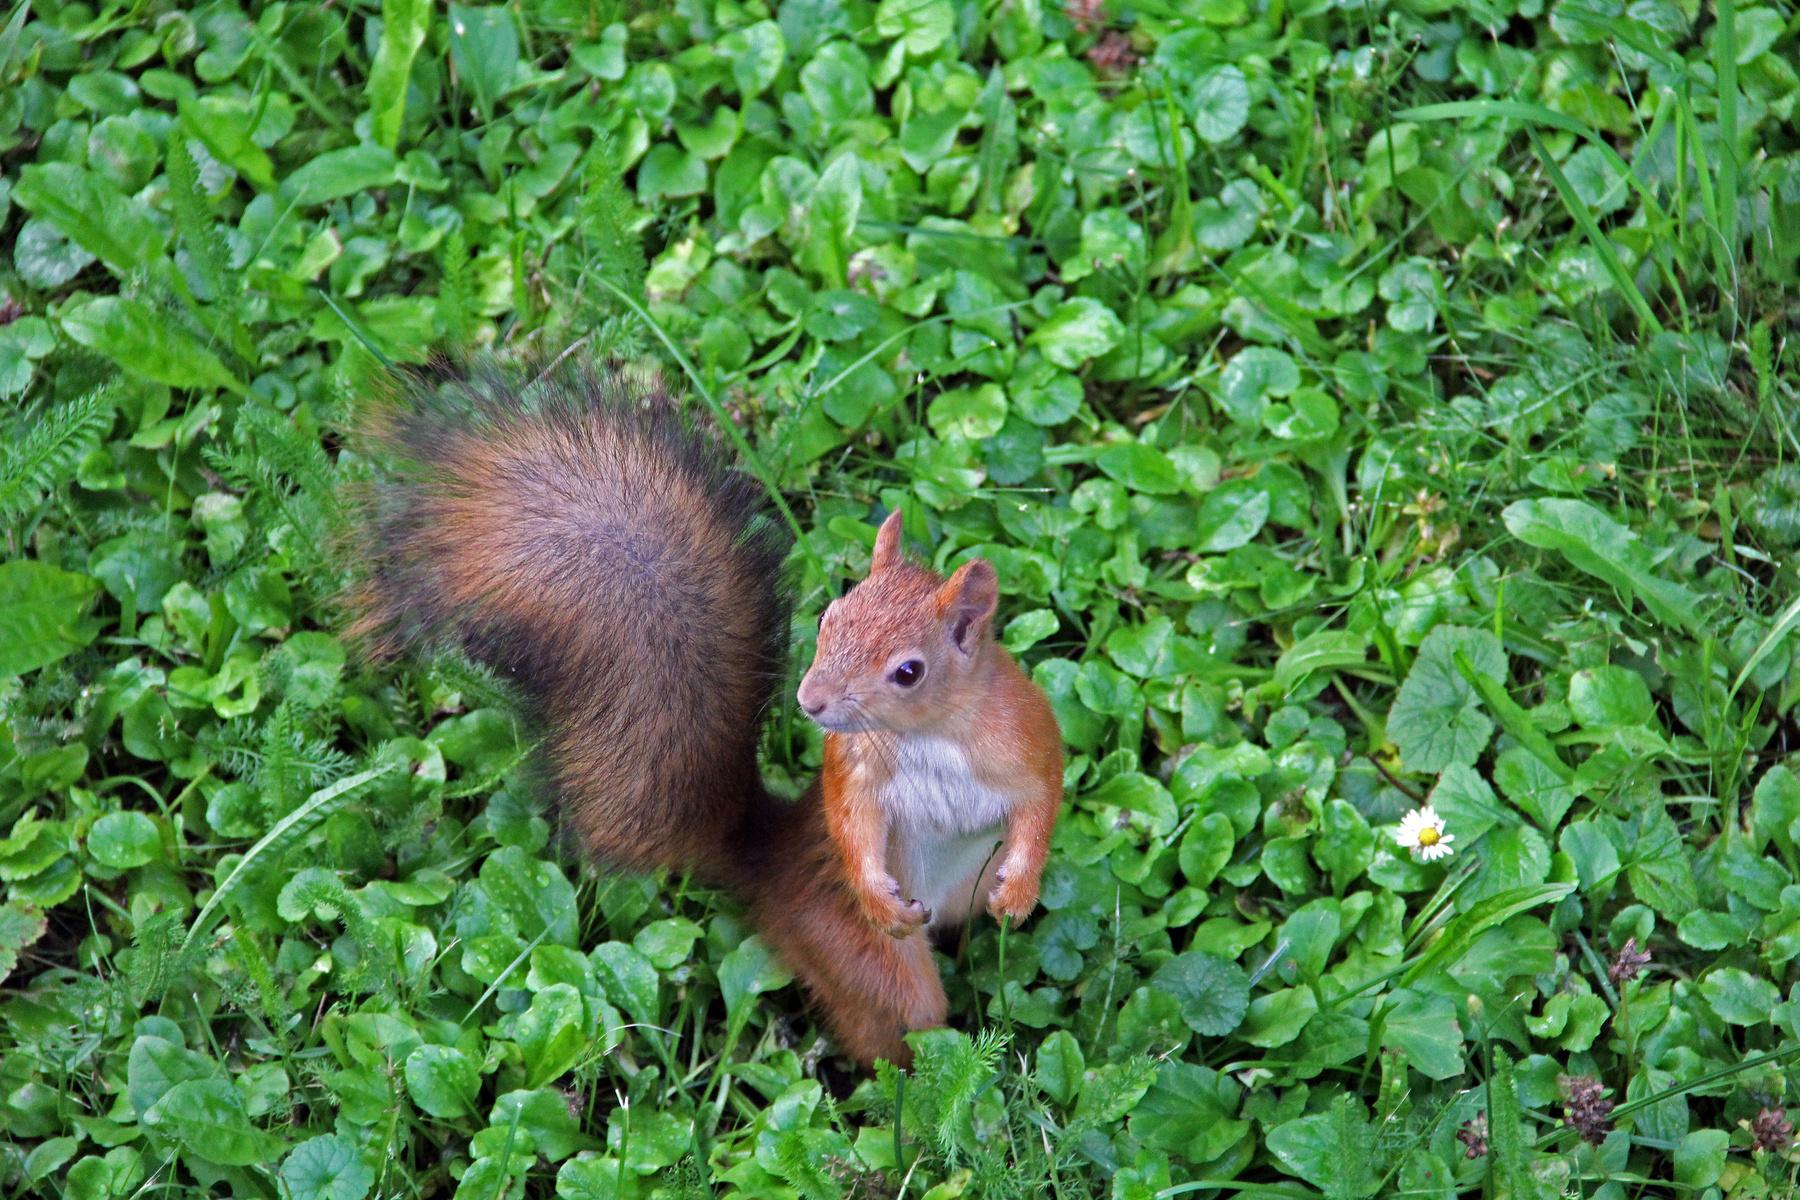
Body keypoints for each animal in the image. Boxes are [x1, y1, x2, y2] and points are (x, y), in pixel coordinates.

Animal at [345, 357, 1064, 1068]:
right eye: (829, 617)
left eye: (908, 672)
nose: (810, 701)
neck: (926, 736)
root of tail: (767, 865)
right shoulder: (855, 767)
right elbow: (852, 825)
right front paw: (878, 898)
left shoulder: (1026, 740)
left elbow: (1041, 805)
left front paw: (1019, 893)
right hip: (848, 946)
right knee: (898, 1024)